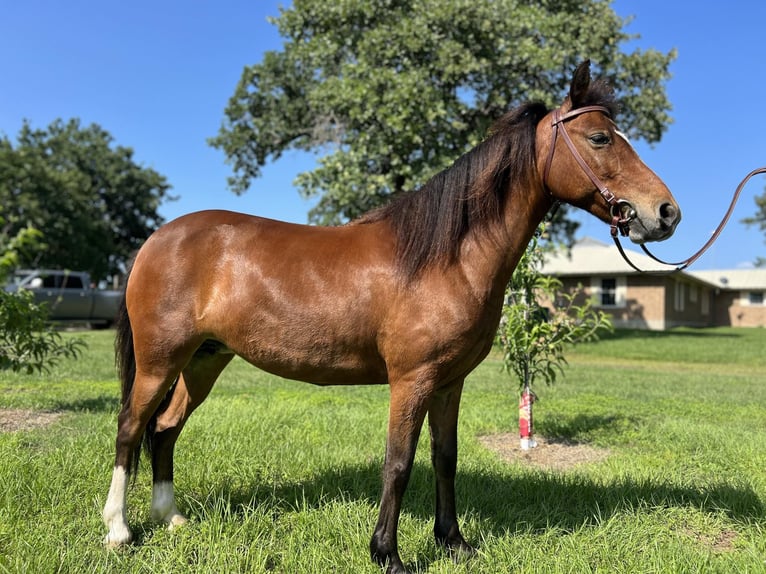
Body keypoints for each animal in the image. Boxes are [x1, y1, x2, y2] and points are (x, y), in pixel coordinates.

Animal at [103, 60, 684, 572]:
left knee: (166, 427)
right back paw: (119, 531)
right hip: (160, 360)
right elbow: (399, 463)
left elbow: (445, 458)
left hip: (203, 360)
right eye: (600, 138)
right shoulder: (412, 380)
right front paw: (388, 554)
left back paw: (171, 518)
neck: (446, 256)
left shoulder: (449, 382)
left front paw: (454, 542)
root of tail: (157, 239)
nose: (665, 212)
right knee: (130, 426)